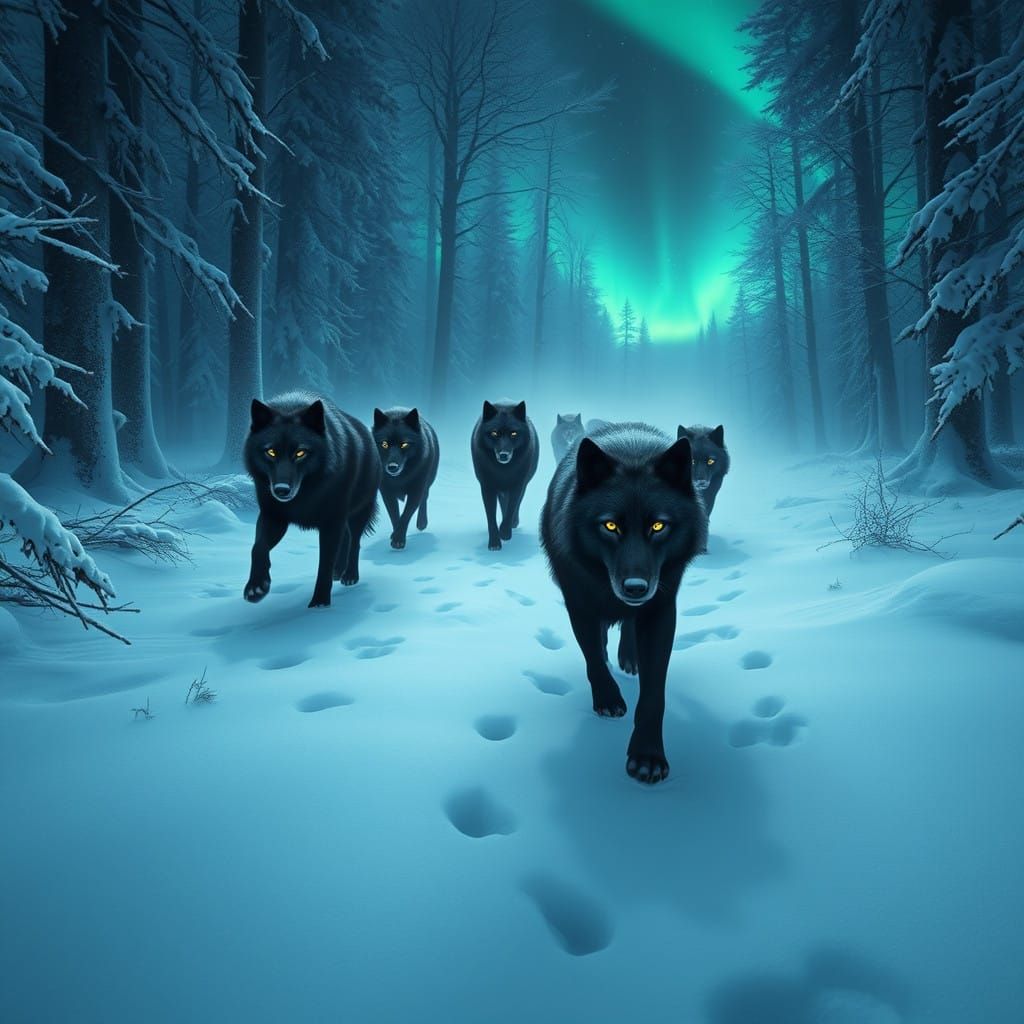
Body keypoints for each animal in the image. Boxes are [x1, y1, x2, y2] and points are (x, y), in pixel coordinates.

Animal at [243, 392, 380, 608]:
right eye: (271, 452)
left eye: (300, 453)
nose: (281, 490)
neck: (306, 494)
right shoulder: (272, 516)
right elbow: (258, 548)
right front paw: (256, 587)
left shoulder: (331, 521)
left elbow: (324, 564)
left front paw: (320, 604)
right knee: (346, 537)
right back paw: (338, 571)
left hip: (358, 513)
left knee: (355, 541)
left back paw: (349, 575)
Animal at [372, 407, 440, 550]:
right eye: (384, 444)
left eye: (404, 444)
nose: (392, 467)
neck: (400, 478)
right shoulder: (387, 493)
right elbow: (394, 515)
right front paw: (396, 535)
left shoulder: (416, 490)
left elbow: (406, 514)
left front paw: (398, 539)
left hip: (428, 482)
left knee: (424, 498)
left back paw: (422, 523)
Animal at [471, 399, 539, 550]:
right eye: (494, 433)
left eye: (514, 433)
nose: (503, 455)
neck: (503, 471)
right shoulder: (487, 487)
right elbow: (491, 516)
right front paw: (494, 543)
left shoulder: (517, 486)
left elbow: (511, 508)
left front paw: (505, 532)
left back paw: (513, 523)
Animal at [540, 422, 707, 783]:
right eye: (610, 525)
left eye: (658, 525)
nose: (635, 588)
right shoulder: (579, 602)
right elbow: (592, 656)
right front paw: (607, 698)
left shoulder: (661, 609)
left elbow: (654, 692)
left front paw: (647, 757)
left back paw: (630, 658)